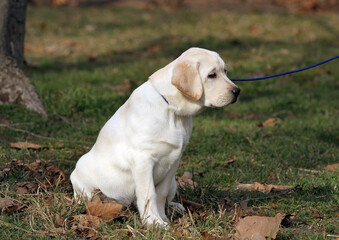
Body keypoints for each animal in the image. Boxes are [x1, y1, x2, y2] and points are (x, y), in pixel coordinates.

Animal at [70, 47, 240, 227]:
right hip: (84, 180)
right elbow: (148, 193)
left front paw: (162, 218)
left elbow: (161, 193)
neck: (172, 110)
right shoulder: (142, 160)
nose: (237, 91)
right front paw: (153, 222)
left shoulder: (174, 160)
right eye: (212, 75)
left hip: (173, 182)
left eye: (225, 71)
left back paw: (175, 207)